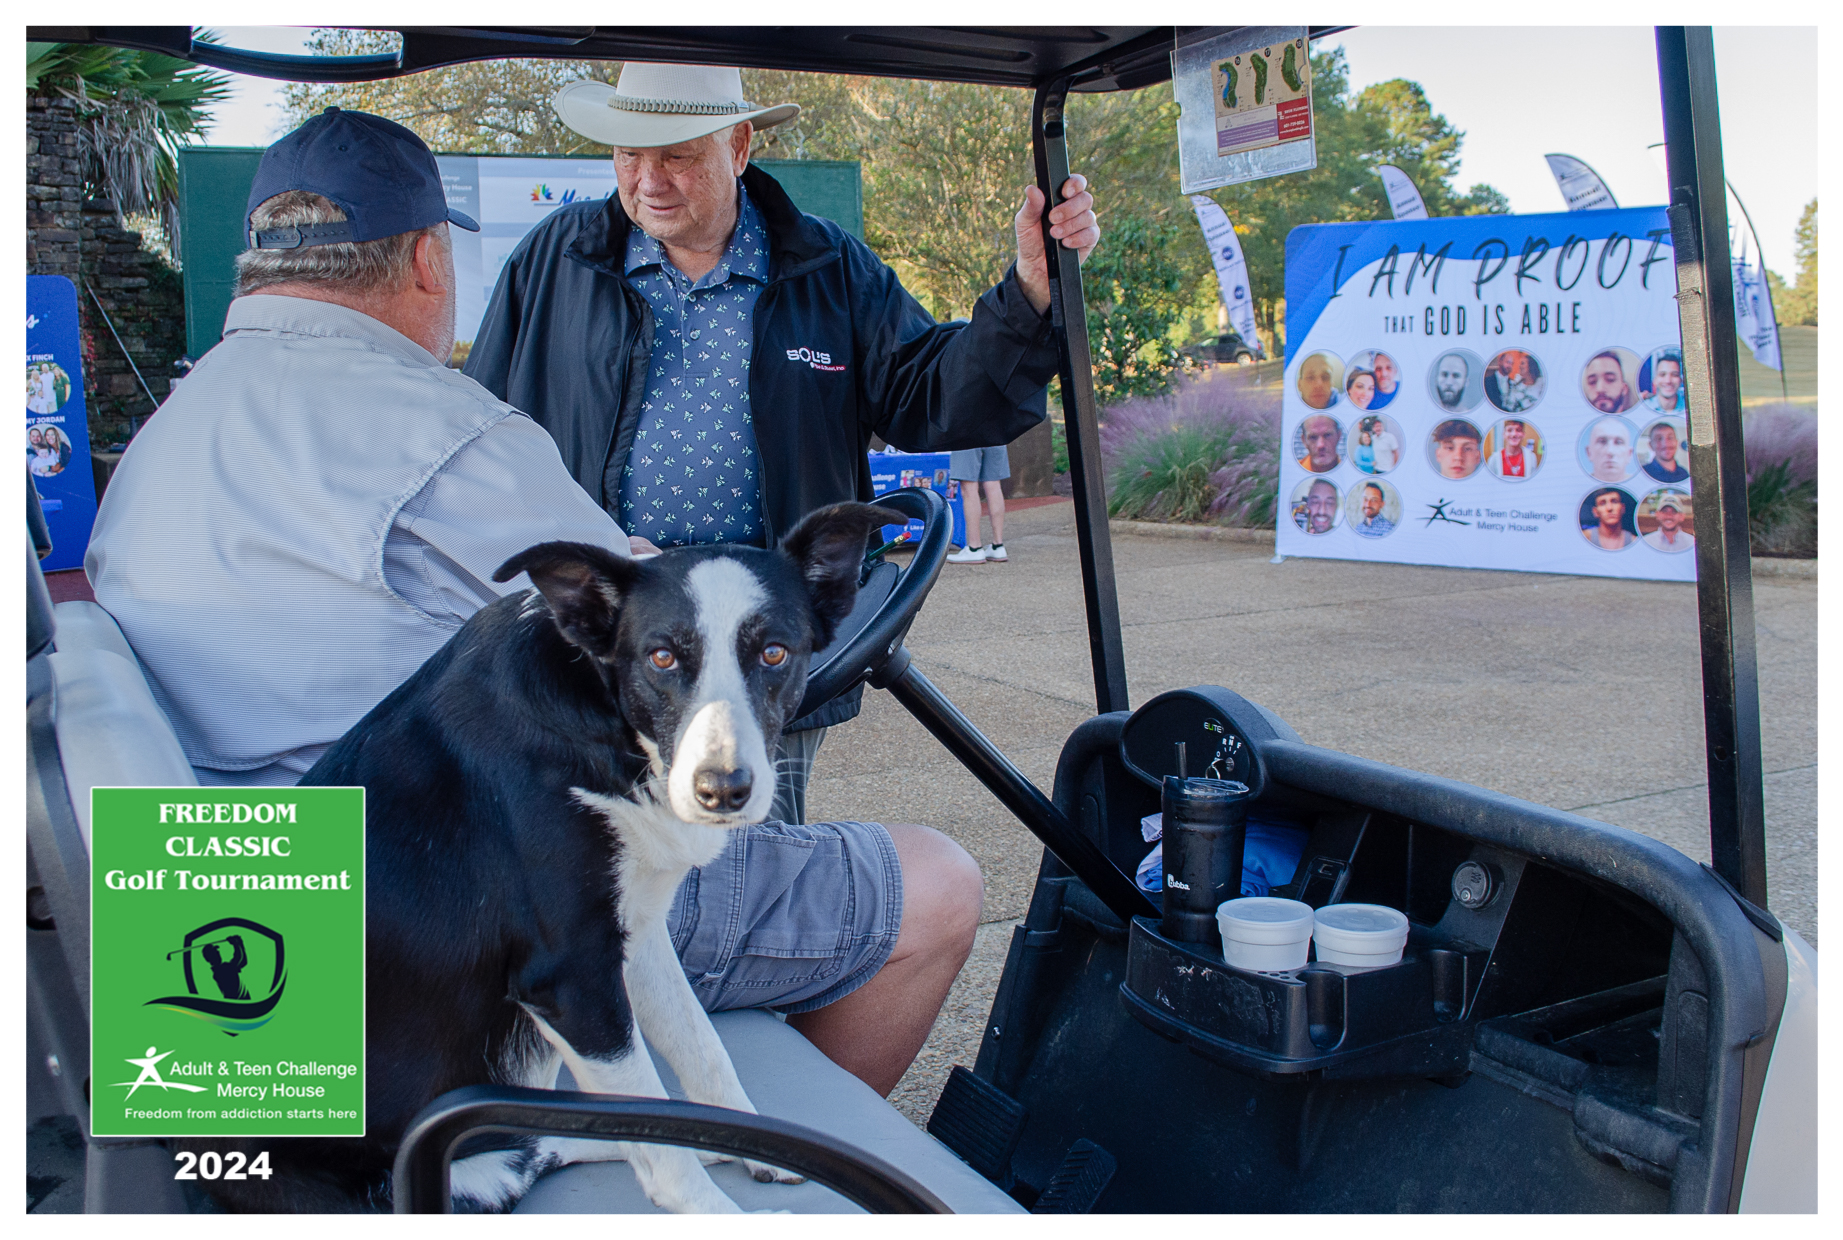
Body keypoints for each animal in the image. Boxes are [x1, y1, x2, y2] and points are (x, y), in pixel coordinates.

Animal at [177, 501, 889, 1213]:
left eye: (774, 653)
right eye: (661, 657)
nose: (722, 790)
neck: (600, 722)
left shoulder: (635, 937)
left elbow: (700, 1048)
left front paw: (744, 1139)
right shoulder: (572, 978)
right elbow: (649, 1127)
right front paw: (716, 1211)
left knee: (534, 1142)